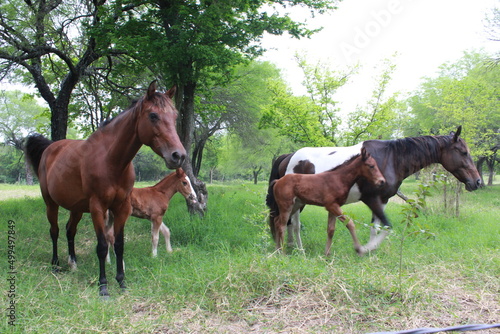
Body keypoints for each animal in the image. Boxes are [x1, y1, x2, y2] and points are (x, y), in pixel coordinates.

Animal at [24, 81, 186, 298]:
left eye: (175, 116)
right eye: (153, 115)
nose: (179, 156)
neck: (111, 161)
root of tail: (50, 148)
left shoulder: (122, 207)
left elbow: (118, 244)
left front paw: (122, 282)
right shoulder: (97, 208)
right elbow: (102, 246)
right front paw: (103, 286)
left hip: (76, 208)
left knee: (70, 231)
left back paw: (73, 263)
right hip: (51, 203)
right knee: (55, 231)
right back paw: (56, 265)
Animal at [268, 126, 482, 254]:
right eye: (463, 152)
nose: (477, 182)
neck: (391, 158)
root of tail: (289, 156)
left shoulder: (383, 200)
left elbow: (377, 227)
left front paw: (372, 252)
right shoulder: (372, 198)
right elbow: (384, 226)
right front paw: (367, 249)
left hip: (298, 202)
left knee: (289, 223)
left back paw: (291, 248)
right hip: (297, 203)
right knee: (293, 224)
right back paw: (297, 250)